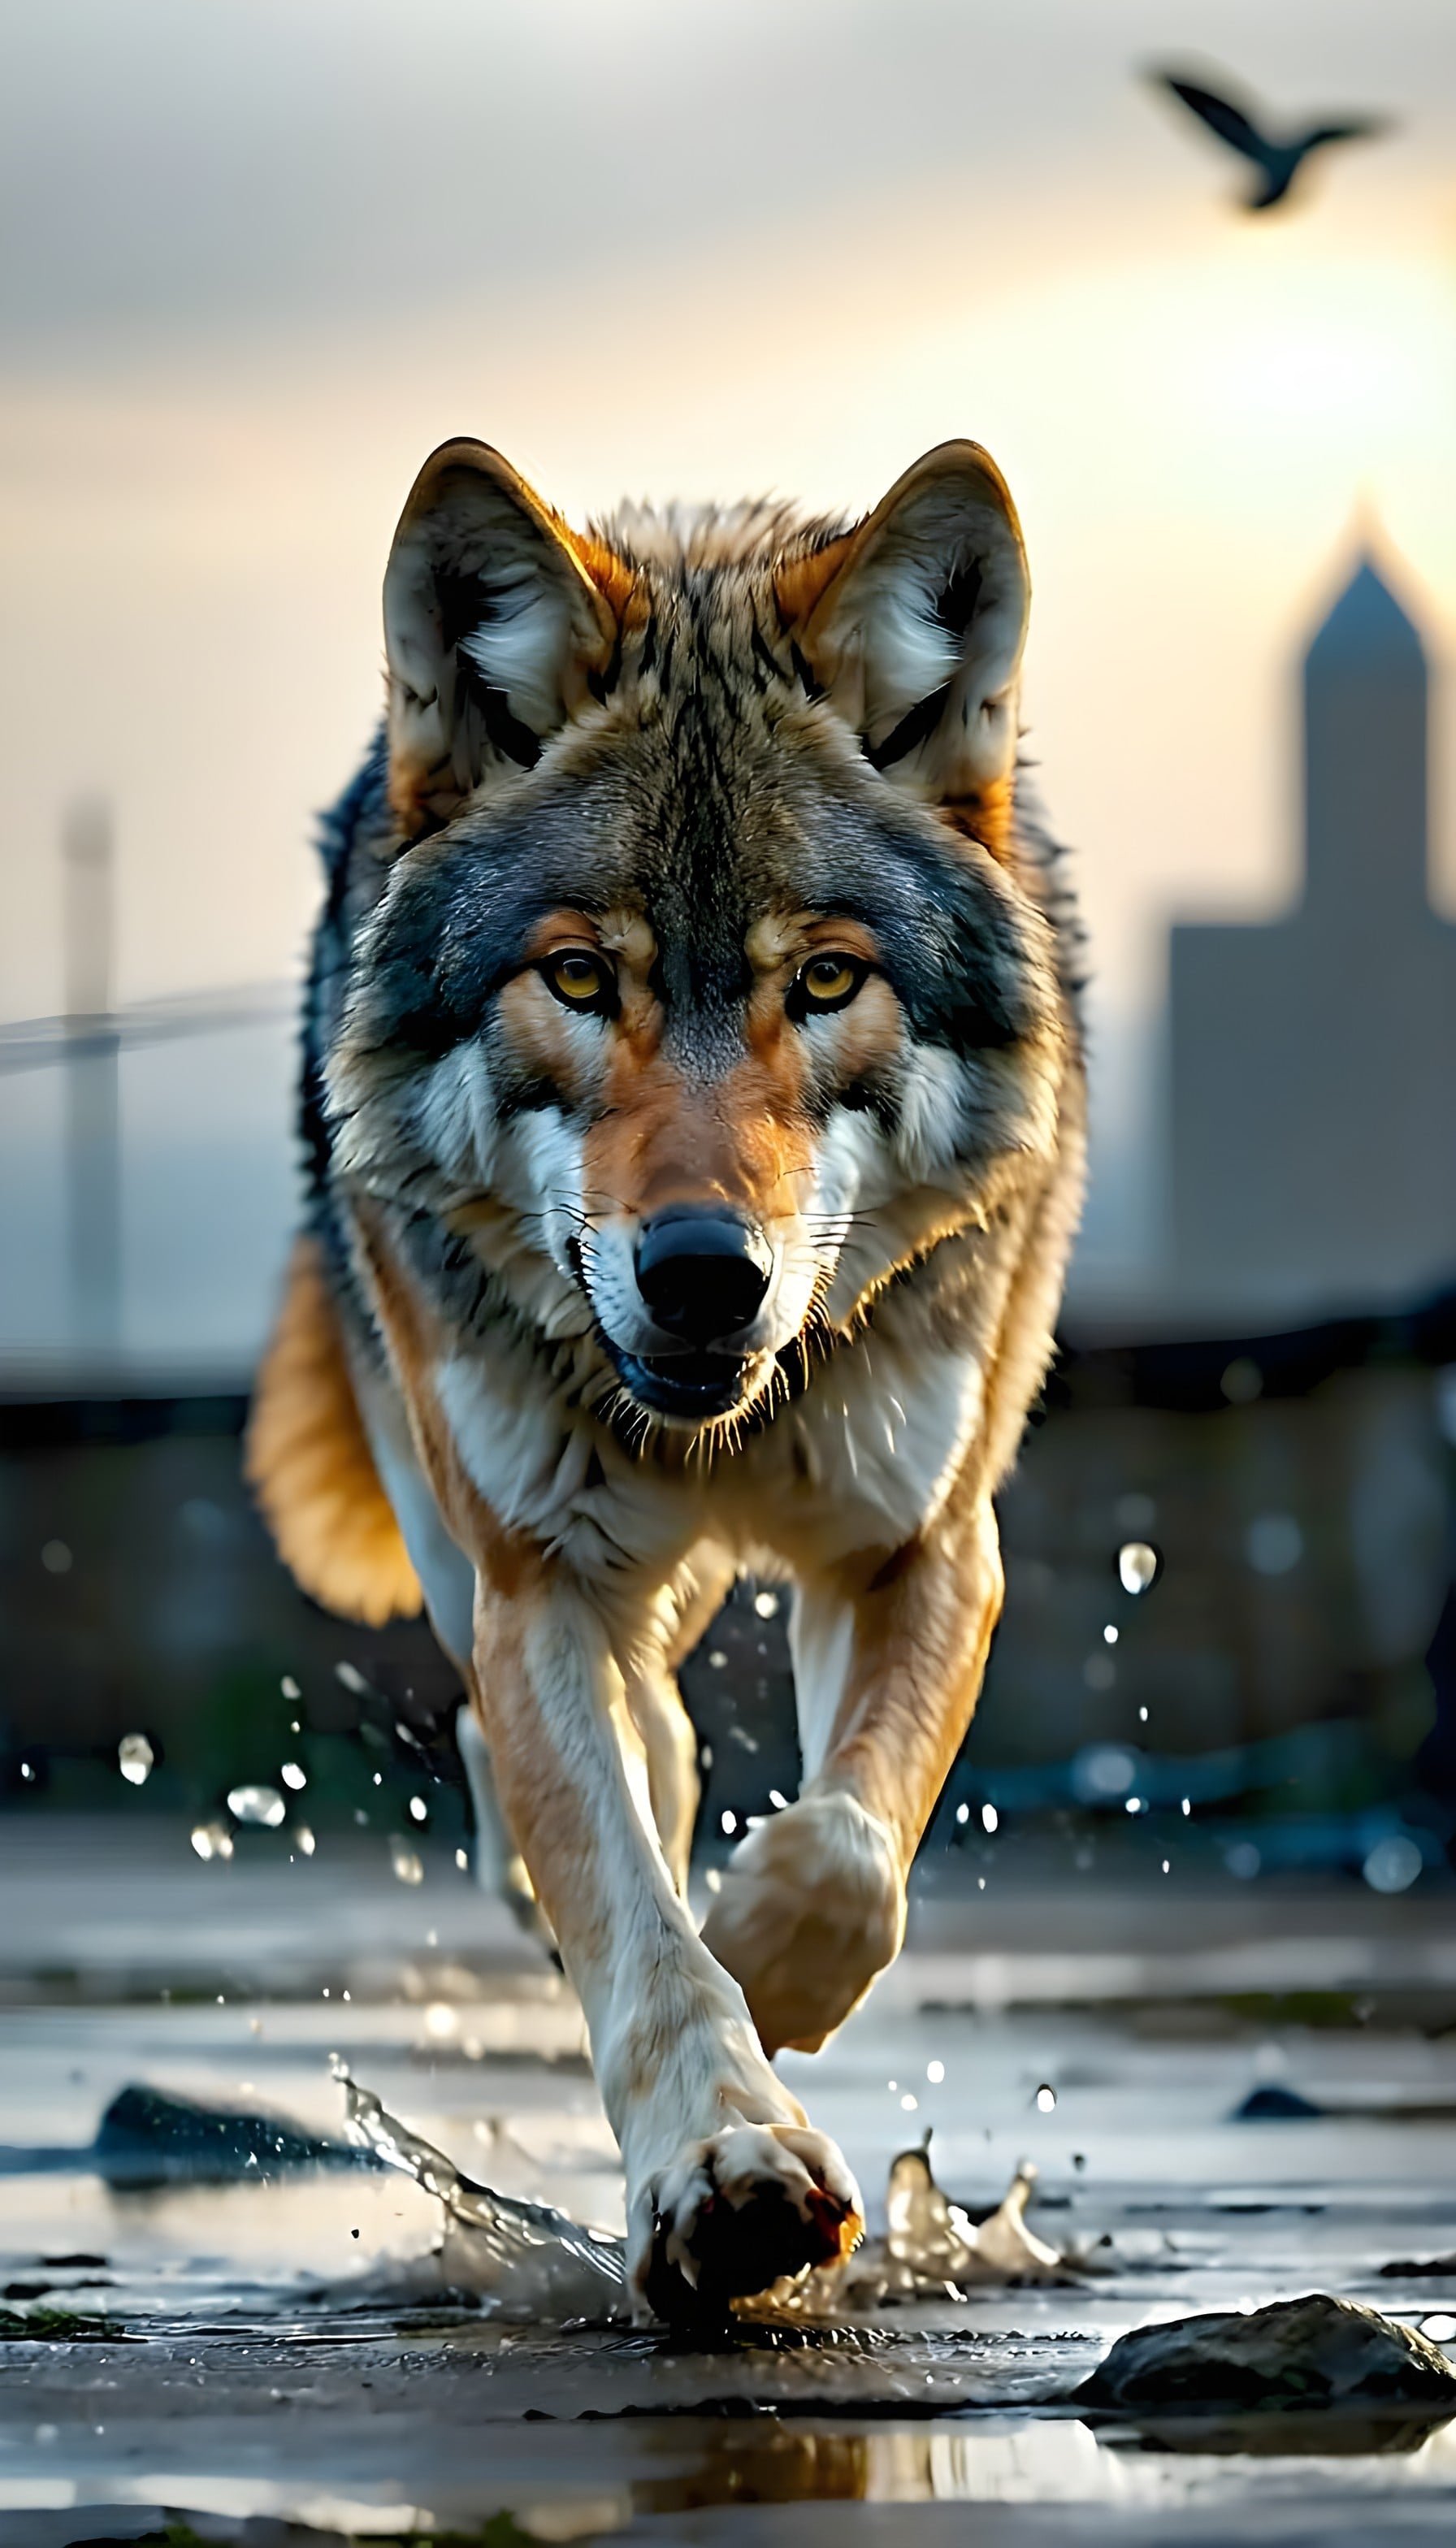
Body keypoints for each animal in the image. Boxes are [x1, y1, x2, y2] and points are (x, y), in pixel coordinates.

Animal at [246, 434, 1085, 2321]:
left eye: (825, 978)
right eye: (577, 975)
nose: (705, 1272)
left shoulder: (929, 1540)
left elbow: (847, 1849)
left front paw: (767, 1971)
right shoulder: (536, 1576)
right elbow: (631, 1900)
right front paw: (725, 2151)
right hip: (458, 1517)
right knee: (584, 1744)